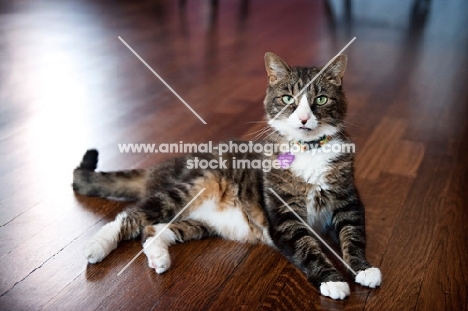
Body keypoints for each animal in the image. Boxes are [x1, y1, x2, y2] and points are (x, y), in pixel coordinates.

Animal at [72, 52, 380, 302]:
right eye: (288, 99)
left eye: (321, 99)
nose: (304, 119)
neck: (308, 150)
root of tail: (164, 166)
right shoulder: (284, 215)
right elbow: (307, 246)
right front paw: (333, 280)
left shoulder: (347, 199)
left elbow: (353, 234)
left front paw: (363, 269)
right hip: (193, 186)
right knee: (131, 216)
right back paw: (97, 246)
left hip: (201, 222)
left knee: (153, 229)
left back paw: (159, 257)